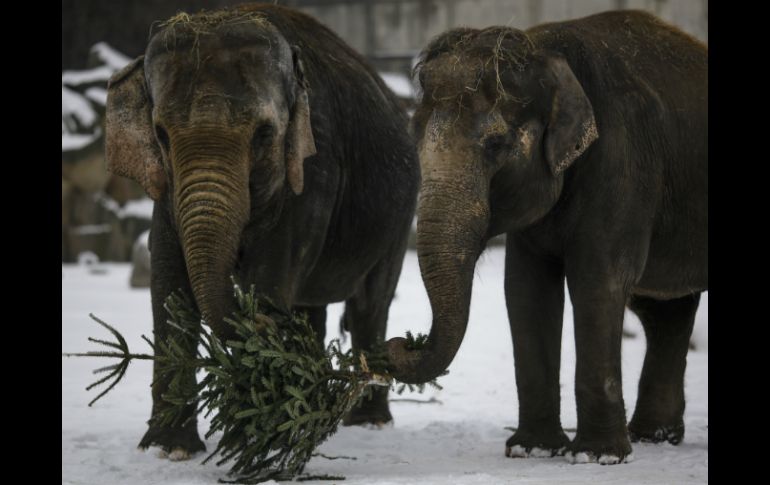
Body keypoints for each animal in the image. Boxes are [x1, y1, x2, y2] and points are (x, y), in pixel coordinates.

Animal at [105, 4, 419, 458]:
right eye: (160, 134)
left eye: (264, 134)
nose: (263, 323)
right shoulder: (165, 190)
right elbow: (169, 283)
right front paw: (170, 450)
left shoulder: (315, 169)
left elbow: (270, 276)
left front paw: (253, 435)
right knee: (311, 306)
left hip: (400, 215)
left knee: (369, 304)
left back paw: (367, 422)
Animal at [384, 10, 707, 464]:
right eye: (414, 137)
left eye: (496, 144)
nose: (399, 343)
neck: (547, 51)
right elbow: (525, 289)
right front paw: (532, 449)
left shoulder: (622, 165)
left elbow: (598, 282)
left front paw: (597, 457)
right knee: (665, 312)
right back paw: (653, 436)